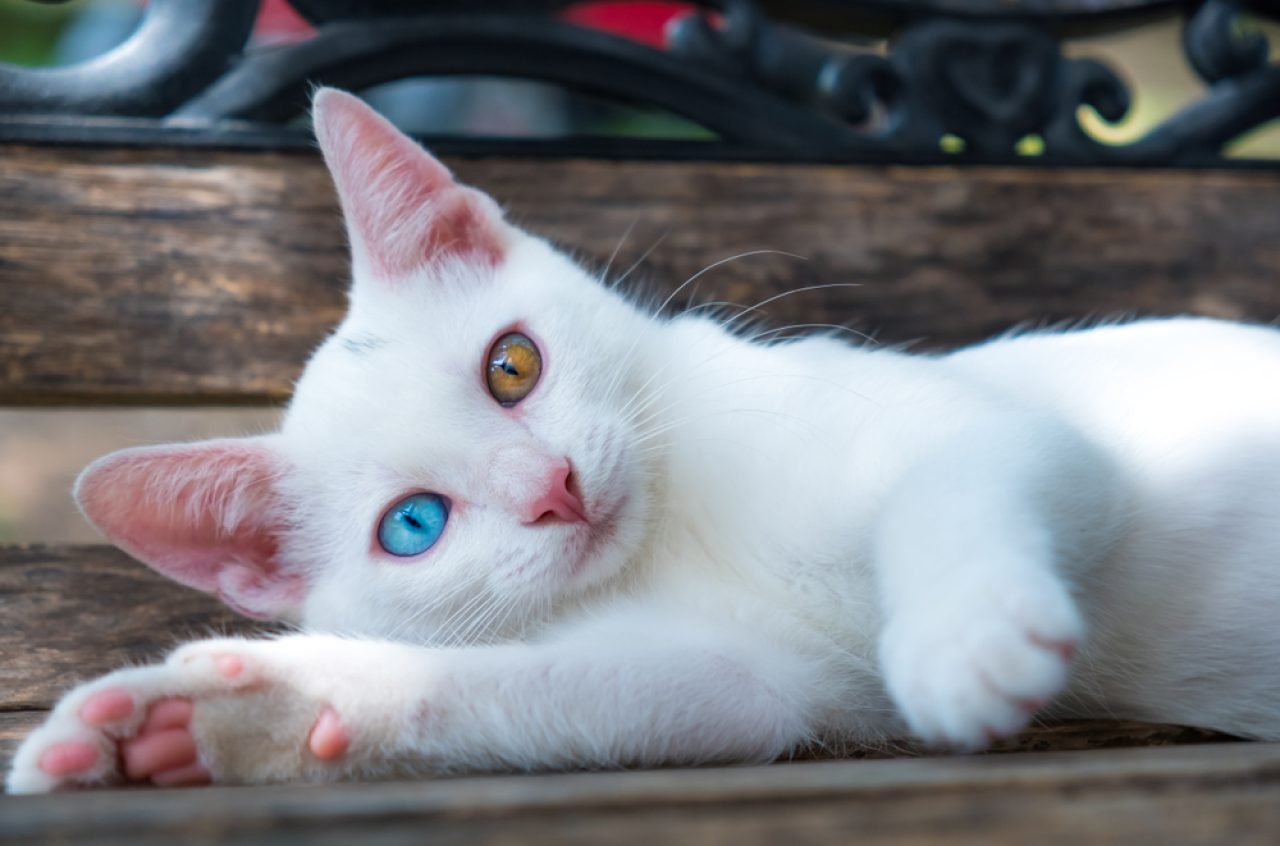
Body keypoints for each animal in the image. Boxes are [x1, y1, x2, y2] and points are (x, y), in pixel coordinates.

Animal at [5, 87, 1274, 793]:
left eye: (510, 365)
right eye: (412, 525)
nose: (555, 487)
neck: (676, 526)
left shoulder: (1010, 429)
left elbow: (957, 481)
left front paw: (961, 640)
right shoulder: (748, 678)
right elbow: (576, 694)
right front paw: (214, 721)